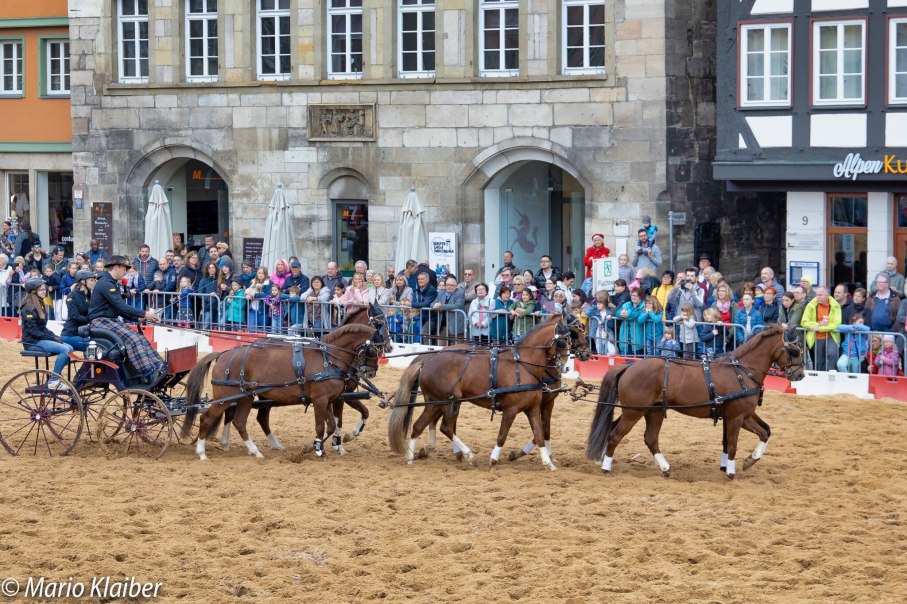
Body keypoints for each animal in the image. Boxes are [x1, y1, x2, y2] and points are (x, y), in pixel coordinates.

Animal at [184, 324, 384, 460]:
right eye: (374, 348)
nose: (371, 372)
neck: (328, 359)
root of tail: (222, 354)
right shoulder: (320, 400)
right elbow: (322, 427)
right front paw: (318, 450)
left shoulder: (328, 400)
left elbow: (332, 425)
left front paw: (315, 447)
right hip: (225, 397)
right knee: (207, 418)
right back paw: (201, 452)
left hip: (246, 397)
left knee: (240, 422)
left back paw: (255, 451)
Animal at [392, 316, 596, 472]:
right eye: (566, 338)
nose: (586, 355)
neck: (524, 365)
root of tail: (429, 359)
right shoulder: (511, 409)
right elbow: (503, 435)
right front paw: (494, 459)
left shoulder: (535, 407)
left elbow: (540, 433)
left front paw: (548, 462)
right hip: (448, 401)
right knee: (445, 427)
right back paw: (468, 455)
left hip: (438, 402)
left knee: (421, 426)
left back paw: (413, 456)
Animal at [584, 324, 804, 478]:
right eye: (794, 350)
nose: (800, 374)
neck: (742, 370)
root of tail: (629, 366)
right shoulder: (737, 417)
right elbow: (733, 445)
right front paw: (732, 470)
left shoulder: (743, 415)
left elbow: (764, 432)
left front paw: (746, 461)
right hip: (634, 411)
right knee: (615, 435)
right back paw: (606, 466)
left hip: (651, 410)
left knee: (648, 438)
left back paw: (663, 467)